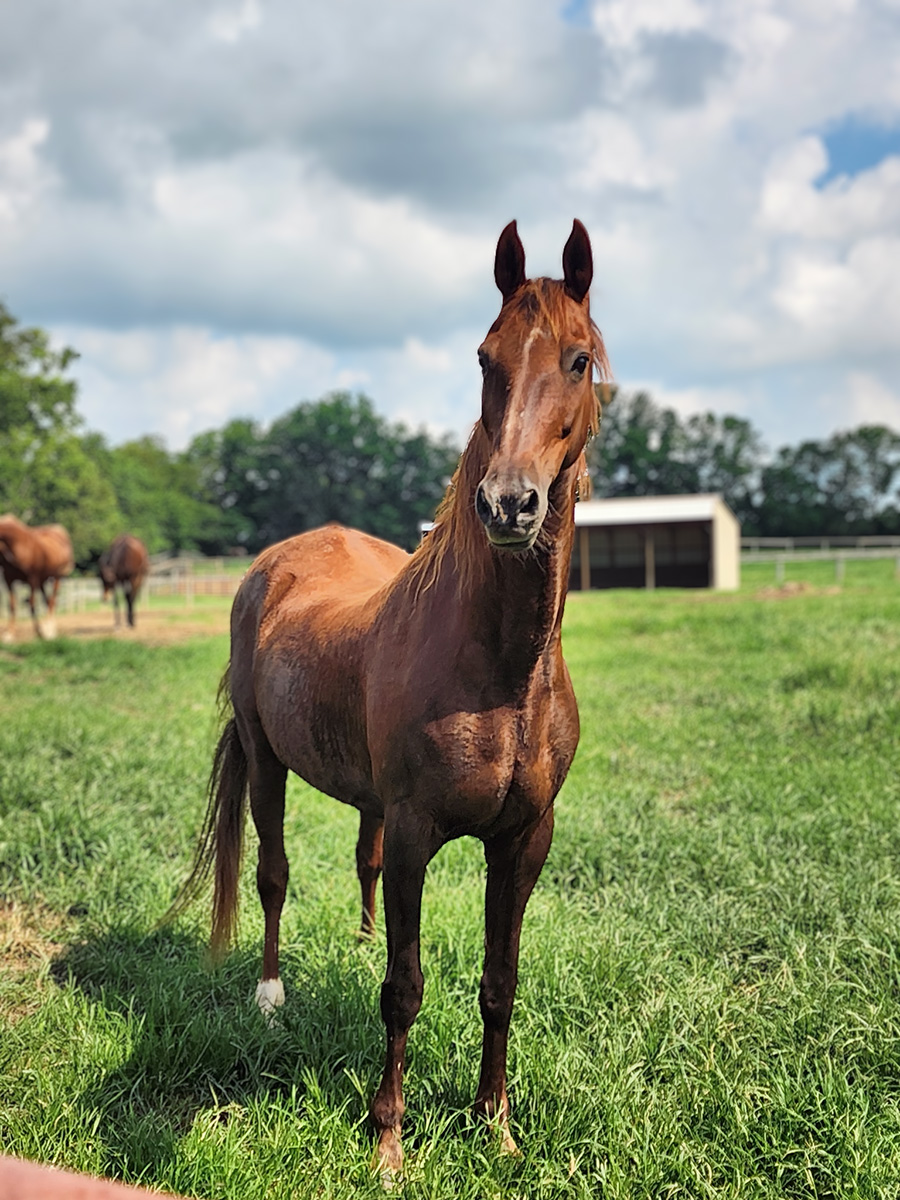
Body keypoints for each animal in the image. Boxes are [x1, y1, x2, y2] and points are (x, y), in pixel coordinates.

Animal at [171, 219, 609, 1176]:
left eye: (579, 360)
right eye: (485, 357)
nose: (508, 505)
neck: (500, 668)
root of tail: (272, 565)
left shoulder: (524, 842)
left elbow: (498, 981)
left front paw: (495, 1125)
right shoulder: (417, 834)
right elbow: (403, 989)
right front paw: (389, 1140)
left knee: (358, 866)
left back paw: (358, 938)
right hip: (266, 761)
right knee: (271, 874)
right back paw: (269, 994)